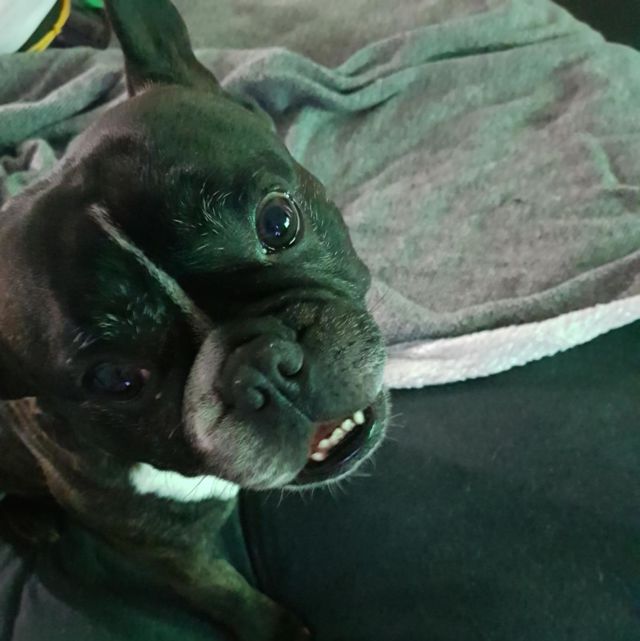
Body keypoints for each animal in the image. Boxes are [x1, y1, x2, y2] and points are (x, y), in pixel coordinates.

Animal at [0, 1, 390, 639]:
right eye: (116, 380)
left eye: (278, 221)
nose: (260, 364)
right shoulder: (169, 553)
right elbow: (228, 593)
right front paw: (278, 629)